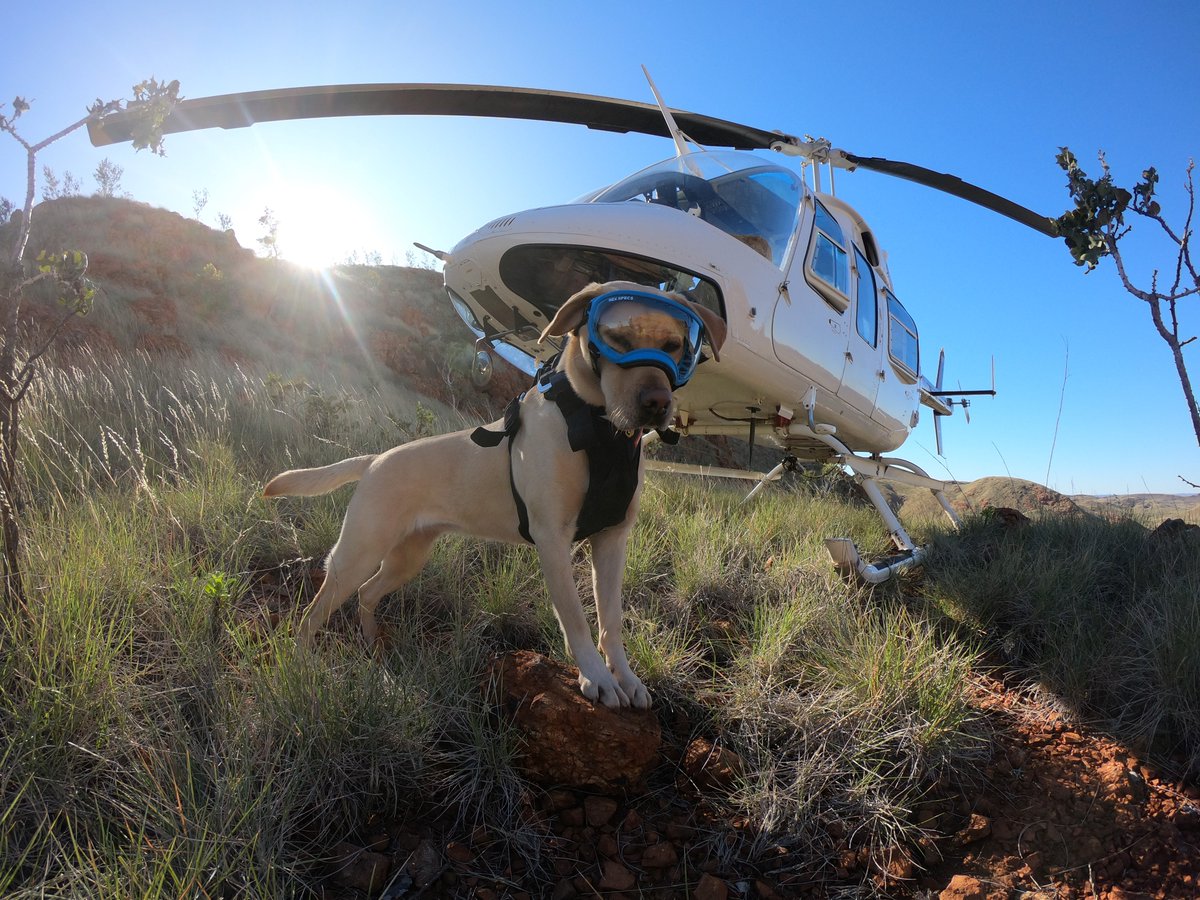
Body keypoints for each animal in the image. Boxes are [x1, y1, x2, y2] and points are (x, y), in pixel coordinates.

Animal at [265, 282, 720, 710]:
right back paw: (305, 667)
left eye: (675, 346)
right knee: (311, 614)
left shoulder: (611, 539)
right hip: (358, 552)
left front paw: (625, 677)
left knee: (367, 594)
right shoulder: (553, 539)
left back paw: (374, 644)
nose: (657, 403)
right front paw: (597, 678)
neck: (598, 431)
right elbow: (575, 618)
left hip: (407, 557)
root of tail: (375, 459)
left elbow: (611, 620)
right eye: (617, 338)